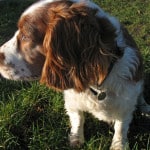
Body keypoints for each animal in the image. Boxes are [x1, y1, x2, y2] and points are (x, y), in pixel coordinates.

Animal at [0, 0, 149, 149]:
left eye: (25, 36)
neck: (96, 84)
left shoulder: (127, 102)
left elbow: (121, 126)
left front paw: (119, 145)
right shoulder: (72, 98)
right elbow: (77, 118)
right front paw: (76, 138)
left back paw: (145, 108)